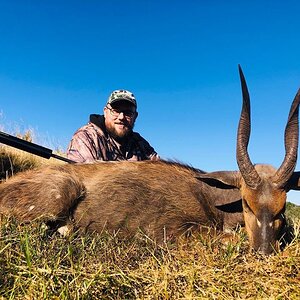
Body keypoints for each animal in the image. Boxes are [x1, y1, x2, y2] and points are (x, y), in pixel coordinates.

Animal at [0, 67, 298, 254]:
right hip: (59, 193)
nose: (263, 252)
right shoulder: (173, 232)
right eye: (247, 204)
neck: (212, 196)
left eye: (282, 209)